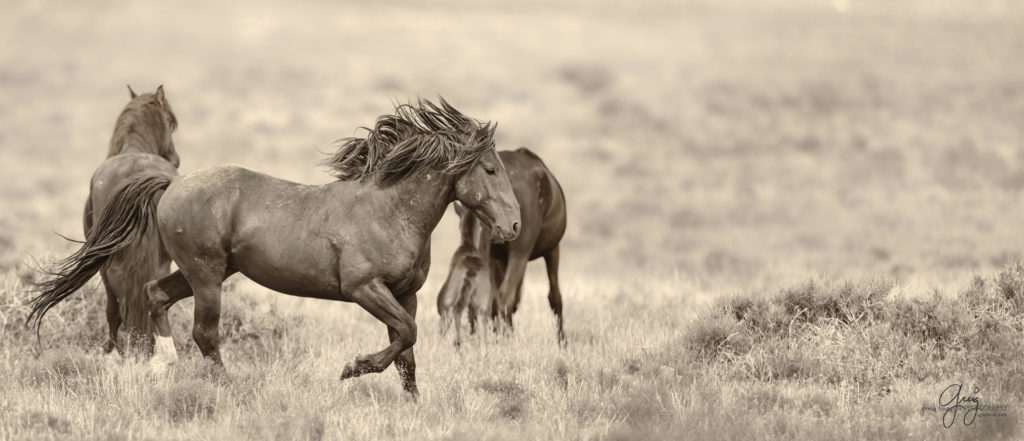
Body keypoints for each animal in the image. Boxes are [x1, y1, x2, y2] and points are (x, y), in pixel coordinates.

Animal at [29, 97, 520, 397]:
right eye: (491, 170)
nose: (514, 225)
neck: (389, 209)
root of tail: (171, 185)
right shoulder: (364, 289)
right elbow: (406, 336)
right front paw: (353, 367)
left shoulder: (406, 294)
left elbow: (407, 350)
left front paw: (412, 403)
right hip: (207, 276)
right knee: (204, 333)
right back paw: (224, 386)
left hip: (204, 272)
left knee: (156, 296)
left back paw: (162, 366)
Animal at [436, 149, 569, 347]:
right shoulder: (552, 250)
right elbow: (554, 297)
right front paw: (561, 341)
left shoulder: (497, 258)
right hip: (520, 253)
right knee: (506, 296)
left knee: (491, 301)